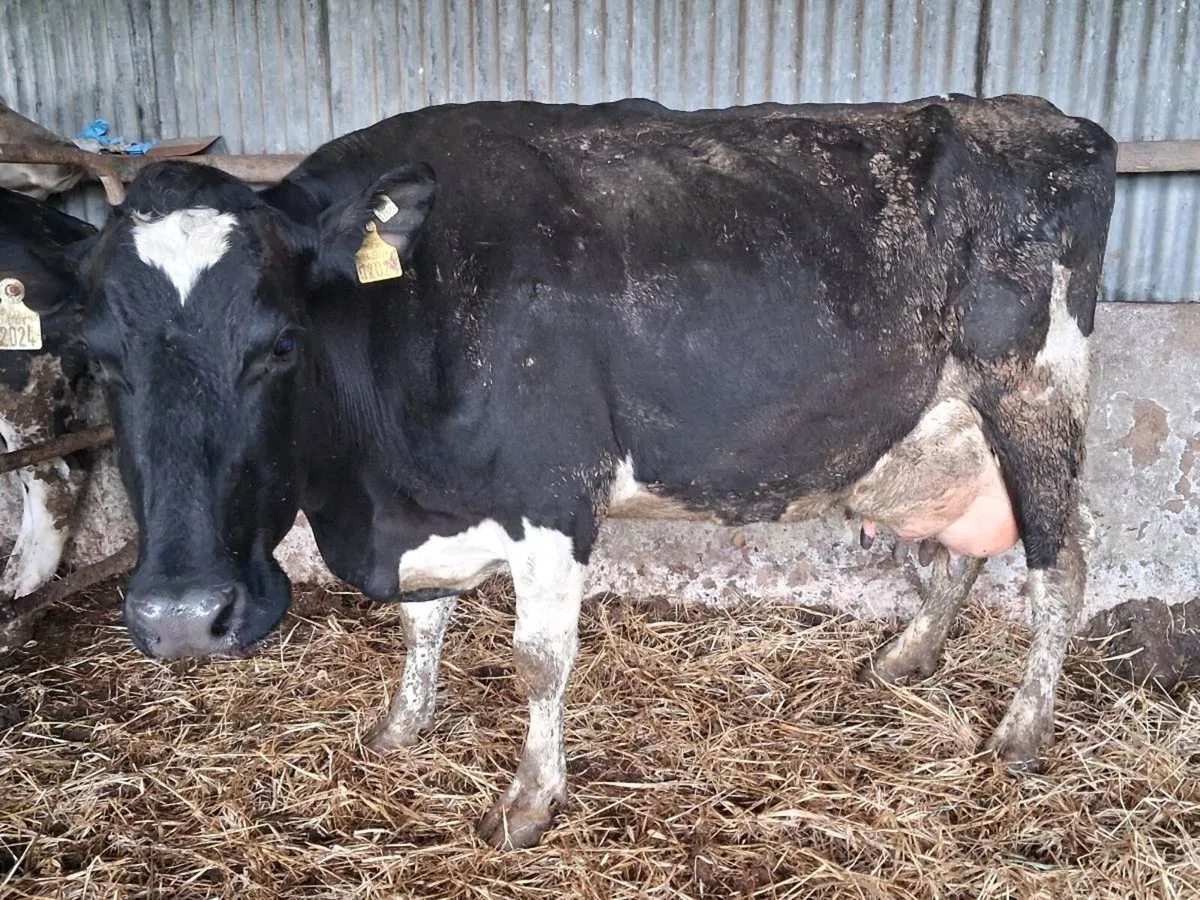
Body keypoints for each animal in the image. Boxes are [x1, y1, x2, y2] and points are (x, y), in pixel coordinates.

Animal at [56, 94, 1115, 848]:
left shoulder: (551, 494)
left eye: (280, 343)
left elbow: (539, 659)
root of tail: (1045, 119)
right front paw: (401, 729)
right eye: (97, 358)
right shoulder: (424, 507)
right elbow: (421, 625)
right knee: (968, 546)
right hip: (943, 433)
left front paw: (526, 805)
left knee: (1059, 562)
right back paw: (907, 657)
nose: (181, 619)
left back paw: (1021, 734)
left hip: (1034, 394)